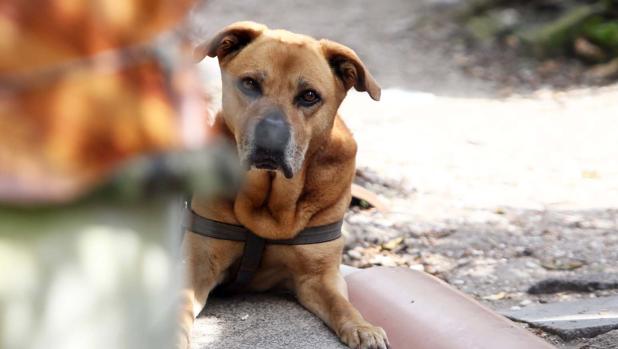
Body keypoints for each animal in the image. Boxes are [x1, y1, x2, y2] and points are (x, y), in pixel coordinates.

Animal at [178, 22, 388, 348]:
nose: (270, 137)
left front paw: (363, 327)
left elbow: (342, 305)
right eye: (250, 83)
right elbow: (182, 302)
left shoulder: (319, 276)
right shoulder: (199, 263)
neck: (269, 203)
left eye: (309, 95)